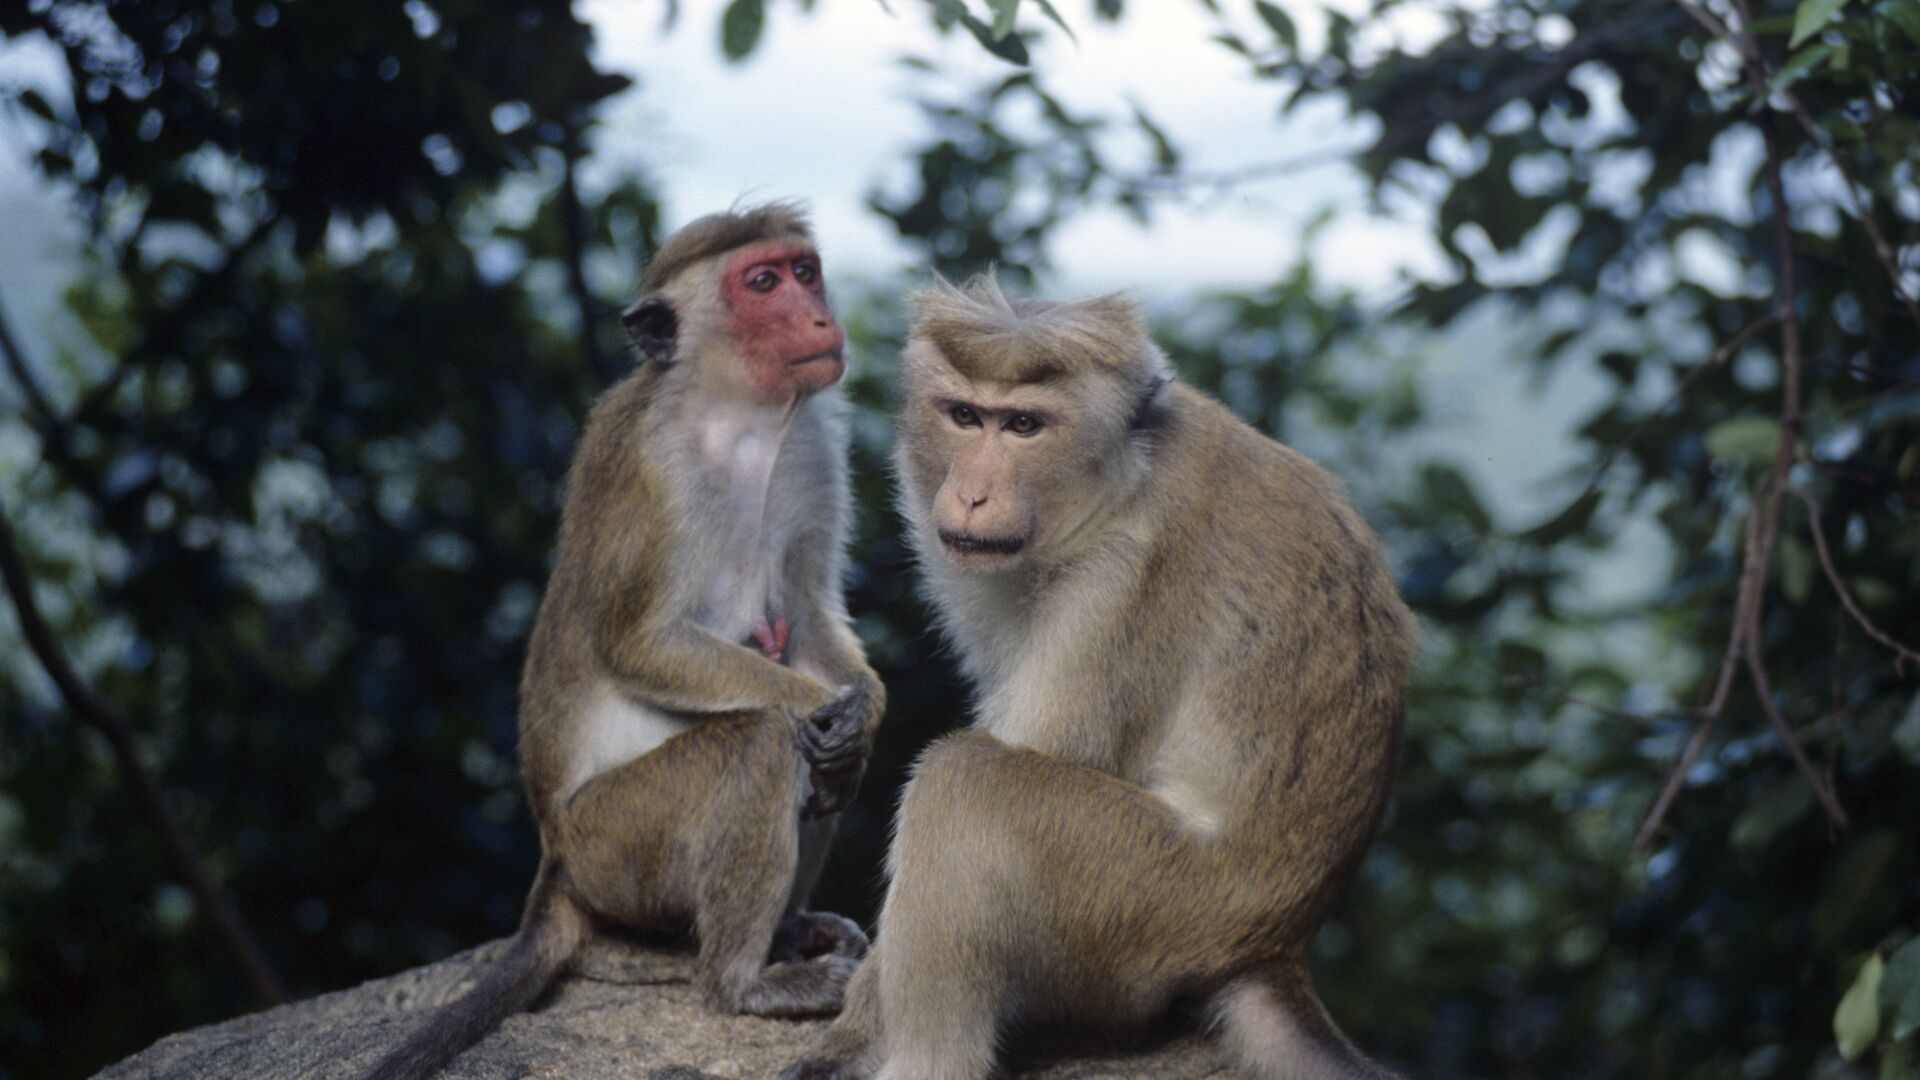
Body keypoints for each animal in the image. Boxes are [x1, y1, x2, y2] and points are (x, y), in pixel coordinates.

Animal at [362, 203, 887, 1076]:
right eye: (763, 282)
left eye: (803, 272)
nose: (820, 317)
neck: (741, 418)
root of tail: (556, 865)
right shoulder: (653, 467)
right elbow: (641, 646)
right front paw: (821, 702)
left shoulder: (813, 443)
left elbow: (809, 612)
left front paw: (866, 712)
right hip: (616, 843)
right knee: (760, 742)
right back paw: (745, 981)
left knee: (819, 769)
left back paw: (791, 928)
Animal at [771, 276, 1420, 1076]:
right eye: (964, 416)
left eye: (1024, 425)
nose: (972, 493)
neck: (1116, 480)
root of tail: (1274, 944)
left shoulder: (1128, 573)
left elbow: (1043, 748)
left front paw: (849, 1034)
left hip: (1152, 907)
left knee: (967, 782)